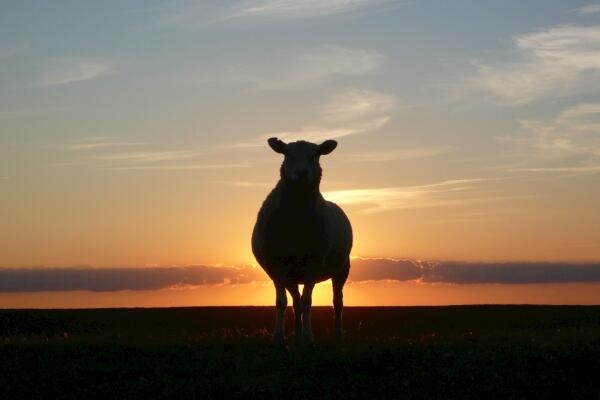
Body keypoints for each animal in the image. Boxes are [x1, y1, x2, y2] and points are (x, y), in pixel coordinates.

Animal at [252, 138, 352, 344]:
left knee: (337, 301)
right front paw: (278, 338)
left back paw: (337, 334)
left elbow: (308, 302)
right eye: (288, 155)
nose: (302, 173)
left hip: (342, 269)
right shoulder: (277, 265)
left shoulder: (314, 263)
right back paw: (296, 335)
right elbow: (281, 302)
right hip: (291, 275)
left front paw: (308, 337)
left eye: (315, 155)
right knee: (295, 302)